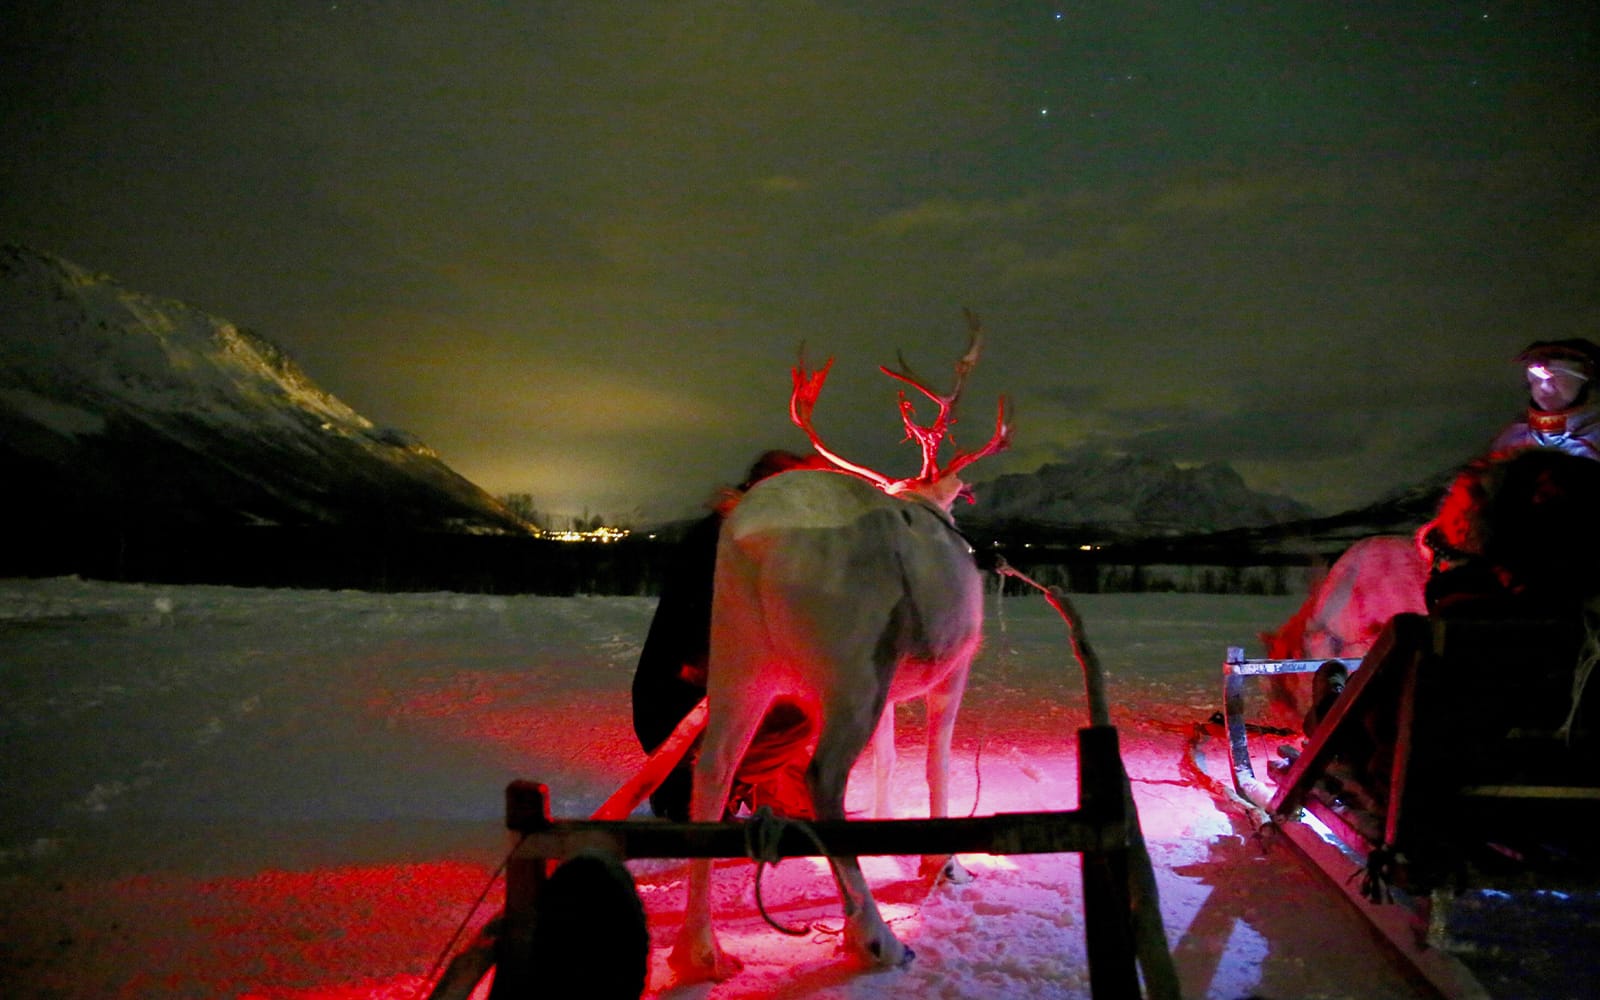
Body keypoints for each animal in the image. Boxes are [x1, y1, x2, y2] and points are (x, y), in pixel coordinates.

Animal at [669, 312, 1010, 982]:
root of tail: (751, 542)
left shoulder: (895, 687)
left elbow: (887, 760)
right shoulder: (952, 669)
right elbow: (937, 762)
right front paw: (946, 865)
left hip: (742, 660)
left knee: (713, 765)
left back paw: (700, 949)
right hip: (851, 671)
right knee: (820, 776)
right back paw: (874, 937)